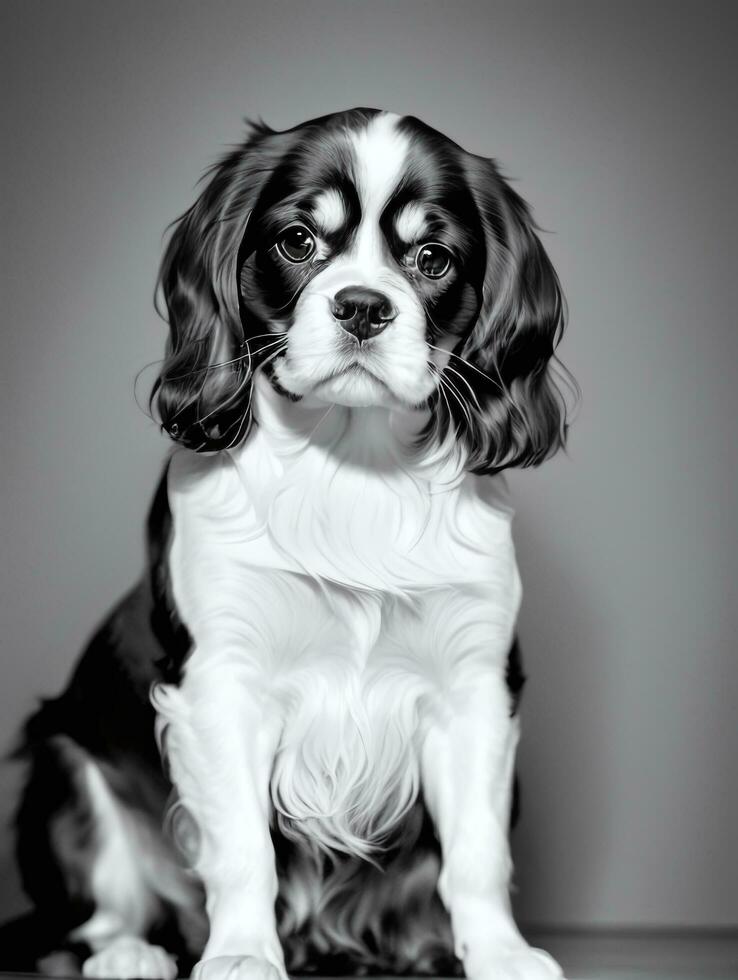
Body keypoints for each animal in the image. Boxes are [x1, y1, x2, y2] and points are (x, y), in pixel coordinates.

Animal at [12, 107, 576, 980]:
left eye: (432, 259)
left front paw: (500, 952)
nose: (362, 306)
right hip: (62, 761)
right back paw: (131, 953)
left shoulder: (475, 687)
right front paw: (243, 954)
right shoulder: (220, 683)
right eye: (298, 241)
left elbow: (478, 851)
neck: (351, 468)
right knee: (95, 912)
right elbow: (242, 846)